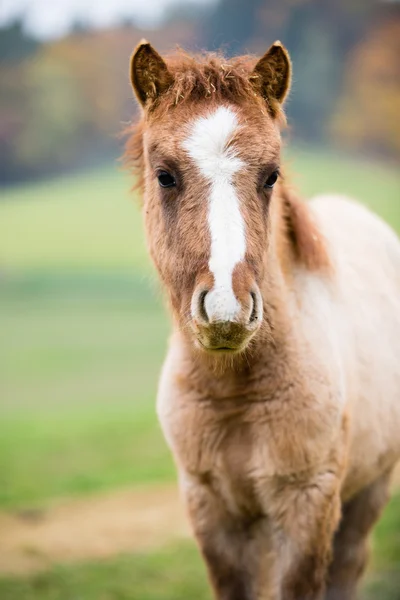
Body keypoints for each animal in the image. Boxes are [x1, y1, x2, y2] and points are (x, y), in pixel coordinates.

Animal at [125, 39, 400, 596]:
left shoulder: (308, 504)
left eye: (271, 175)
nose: (227, 309)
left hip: (367, 495)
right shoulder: (212, 511)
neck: (237, 391)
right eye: (165, 175)